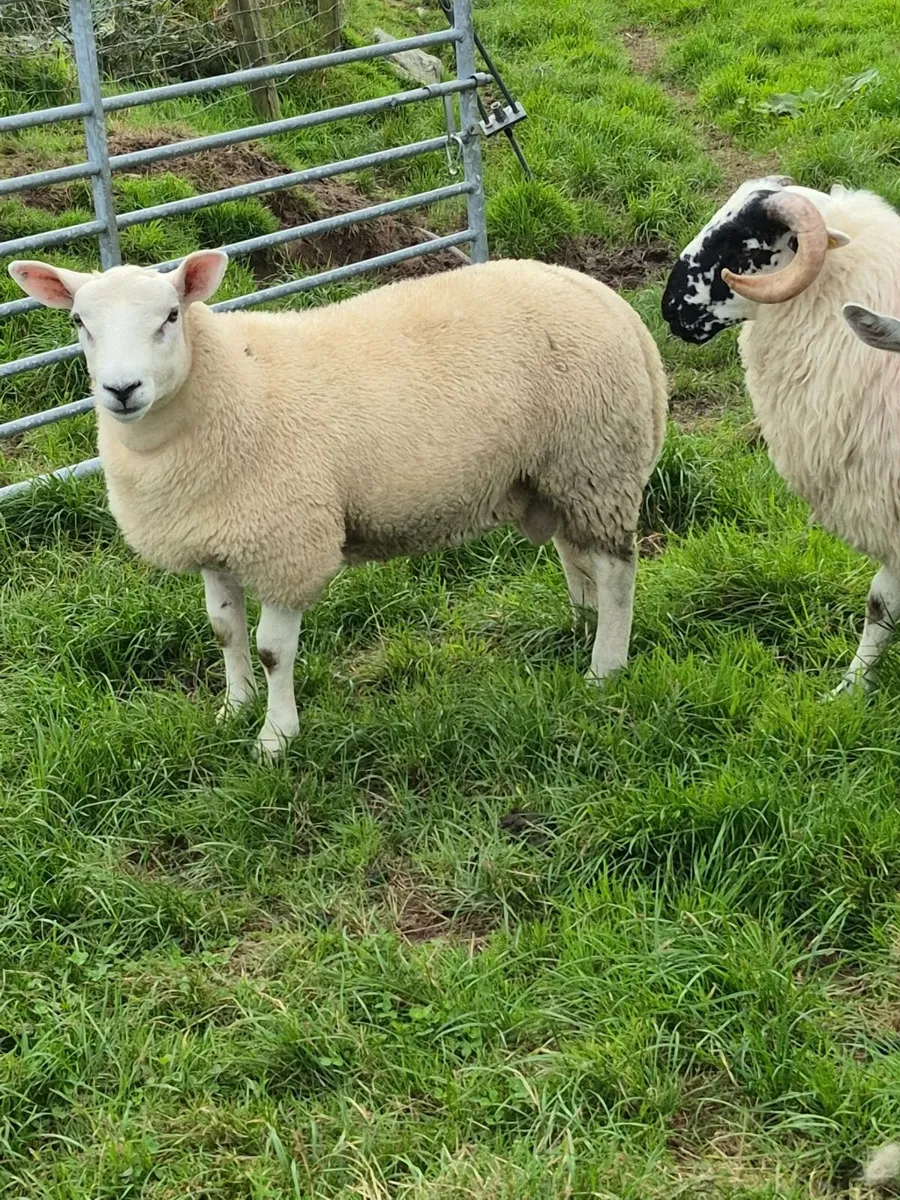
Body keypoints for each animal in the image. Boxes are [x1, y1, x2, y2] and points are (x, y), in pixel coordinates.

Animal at [10, 252, 667, 759]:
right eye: (78, 321)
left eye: (171, 316)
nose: (121, 390)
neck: (227, 389)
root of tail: (604, 297)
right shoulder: (218, 539)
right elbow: (224, 631)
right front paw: (234, 708)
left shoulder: (287, 543)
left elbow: (273, 651)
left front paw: (275, 738)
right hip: (558, 470)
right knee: (575, 551)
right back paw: (581, 624)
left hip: (597, 457)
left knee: (617, 570)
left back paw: (605, 665)